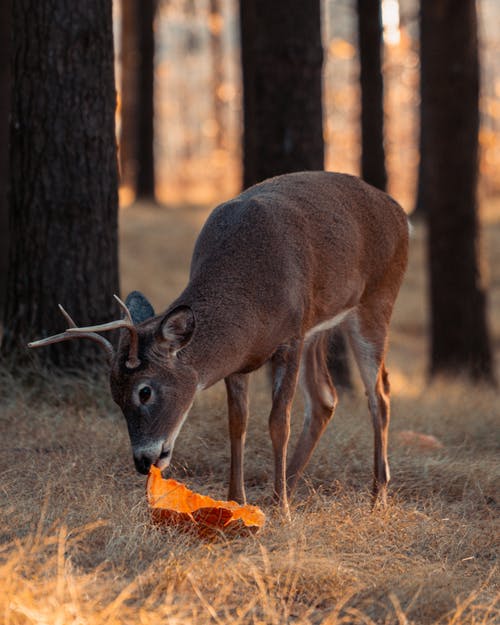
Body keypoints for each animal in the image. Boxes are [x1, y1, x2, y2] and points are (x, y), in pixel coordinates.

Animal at [29, 172, 408, 516]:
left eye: (145, 391)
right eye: (114, 395)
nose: (143, 460)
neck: (250, 300)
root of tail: (398, 209)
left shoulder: (291, 338)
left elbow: (278, 422)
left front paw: (282, 511)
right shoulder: (241, 360)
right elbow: (237, 422)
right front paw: (237, 500)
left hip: (378, 297)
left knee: (380, 393)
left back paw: (375, 497)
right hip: (320, 325)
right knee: (325, 398)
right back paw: (288, 483)